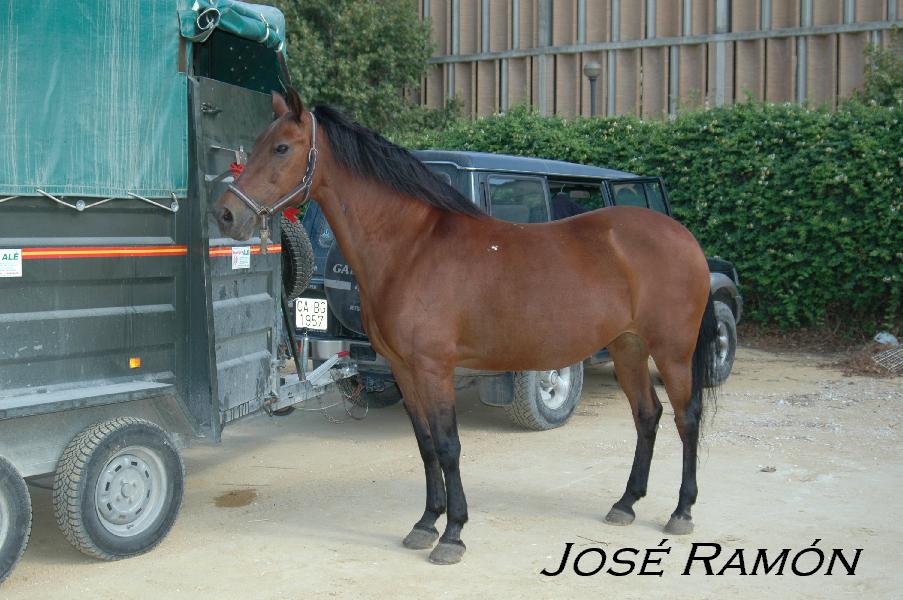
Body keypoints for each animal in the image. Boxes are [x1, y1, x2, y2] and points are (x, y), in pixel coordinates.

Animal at [214, 86, 720, 564]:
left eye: (281, 147)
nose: (226, 214)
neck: (410, 247)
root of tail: (682, 236)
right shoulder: (403, 369)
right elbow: (425, 444)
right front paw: (425, 523)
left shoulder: (435, 368)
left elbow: (449, 445)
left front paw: (453, 534)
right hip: (627, 346)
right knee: (647, 415)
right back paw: (626, 503)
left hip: (671, 351)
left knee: (686, 417)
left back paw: (682, 510)